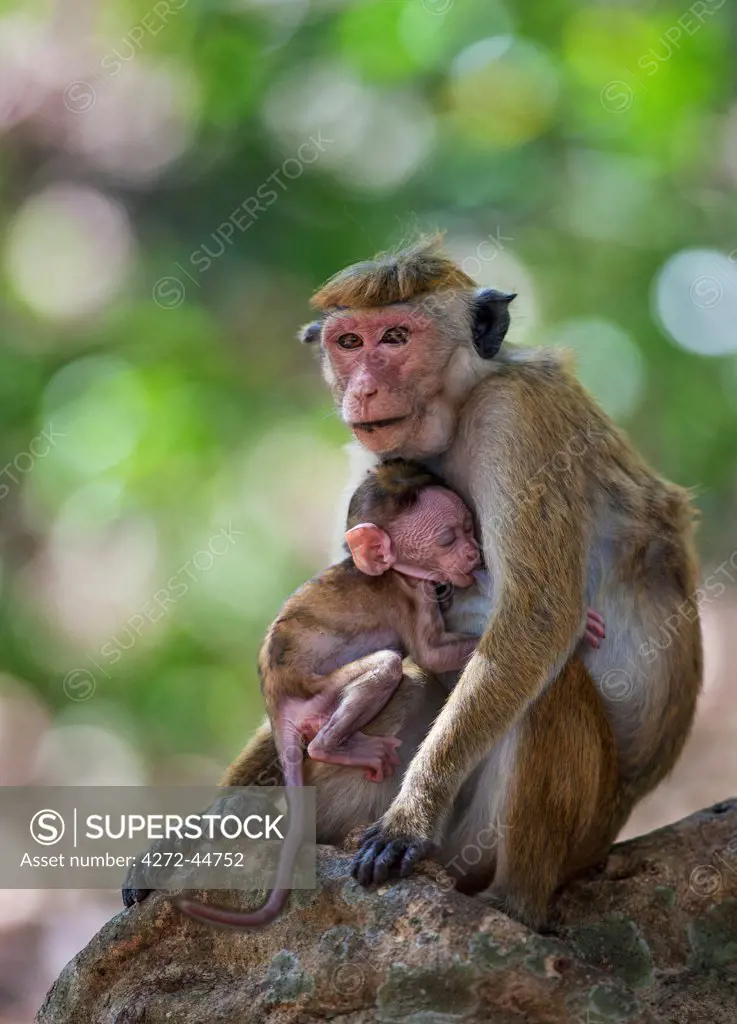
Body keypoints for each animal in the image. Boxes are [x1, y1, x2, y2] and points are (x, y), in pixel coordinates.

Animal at [298, 232, 704, 929]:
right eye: (349, 342)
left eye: (396, 337)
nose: (365, 389)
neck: (461, 406)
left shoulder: (515, 420)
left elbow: (538, 617)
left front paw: (410, 817)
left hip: (539, 833)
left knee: (549, 679)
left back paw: (516, 902)